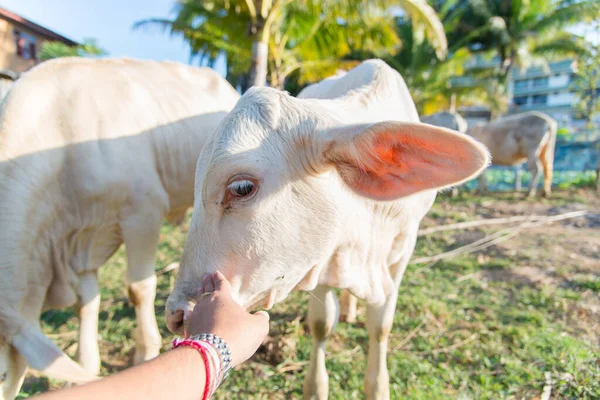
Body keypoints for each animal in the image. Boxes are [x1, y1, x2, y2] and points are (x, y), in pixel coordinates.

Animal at [0, 57, 239, 398]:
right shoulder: (82, 237)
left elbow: (138, 289)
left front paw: (145, 351)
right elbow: (86, 301)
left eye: (3, 375)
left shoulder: (143, 212)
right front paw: (87, 363)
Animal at [166, 59, 490, 400]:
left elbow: (381, 326)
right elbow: (321, 325)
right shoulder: (320, 258)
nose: (177, 314)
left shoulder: (402, 252)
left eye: (241, 187)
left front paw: (378, 385)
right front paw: (316, 386)